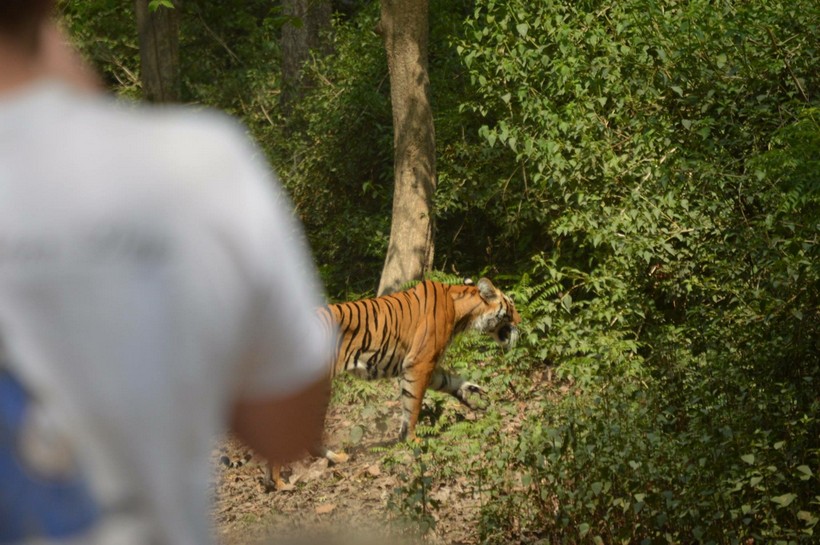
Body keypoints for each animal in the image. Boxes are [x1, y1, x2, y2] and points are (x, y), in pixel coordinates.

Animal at [224, 276, 520, 488]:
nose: (521, 322)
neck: (461, 309)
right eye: (511, 308)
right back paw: (281, 483)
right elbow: (412, 405)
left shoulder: (429, 366)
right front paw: (412, 441)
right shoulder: (419, 363)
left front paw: (474, 395)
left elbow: (449, 381)